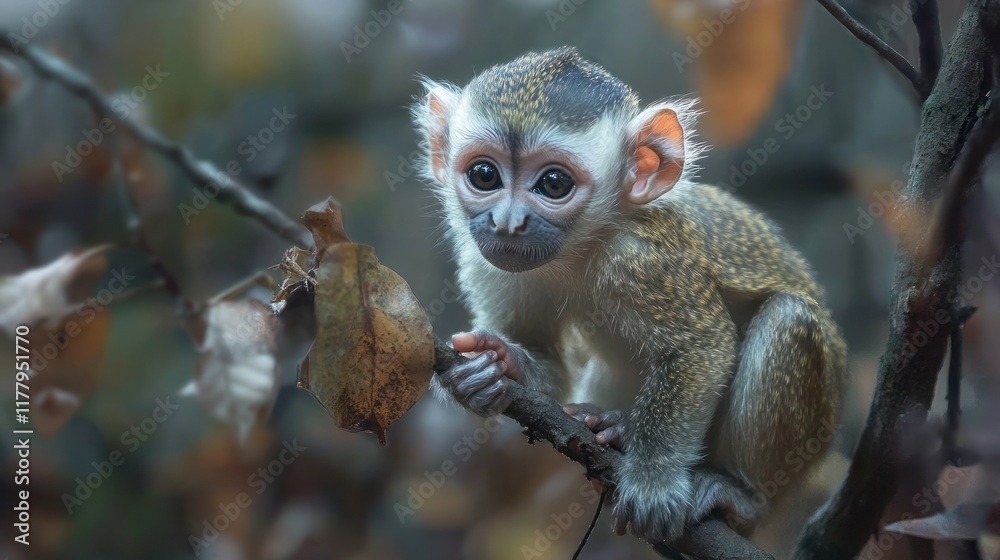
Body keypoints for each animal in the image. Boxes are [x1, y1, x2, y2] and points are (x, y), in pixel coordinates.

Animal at [412, 47, 847, 543]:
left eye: (554, 184)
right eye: (484, 175)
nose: (507, 223)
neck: (584, 247)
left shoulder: (643, 258)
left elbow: (703, 347)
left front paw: (654, 480)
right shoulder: (484, 257)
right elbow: (550, 370)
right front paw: (494, 366)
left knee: (789, 317)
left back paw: (742, 496)